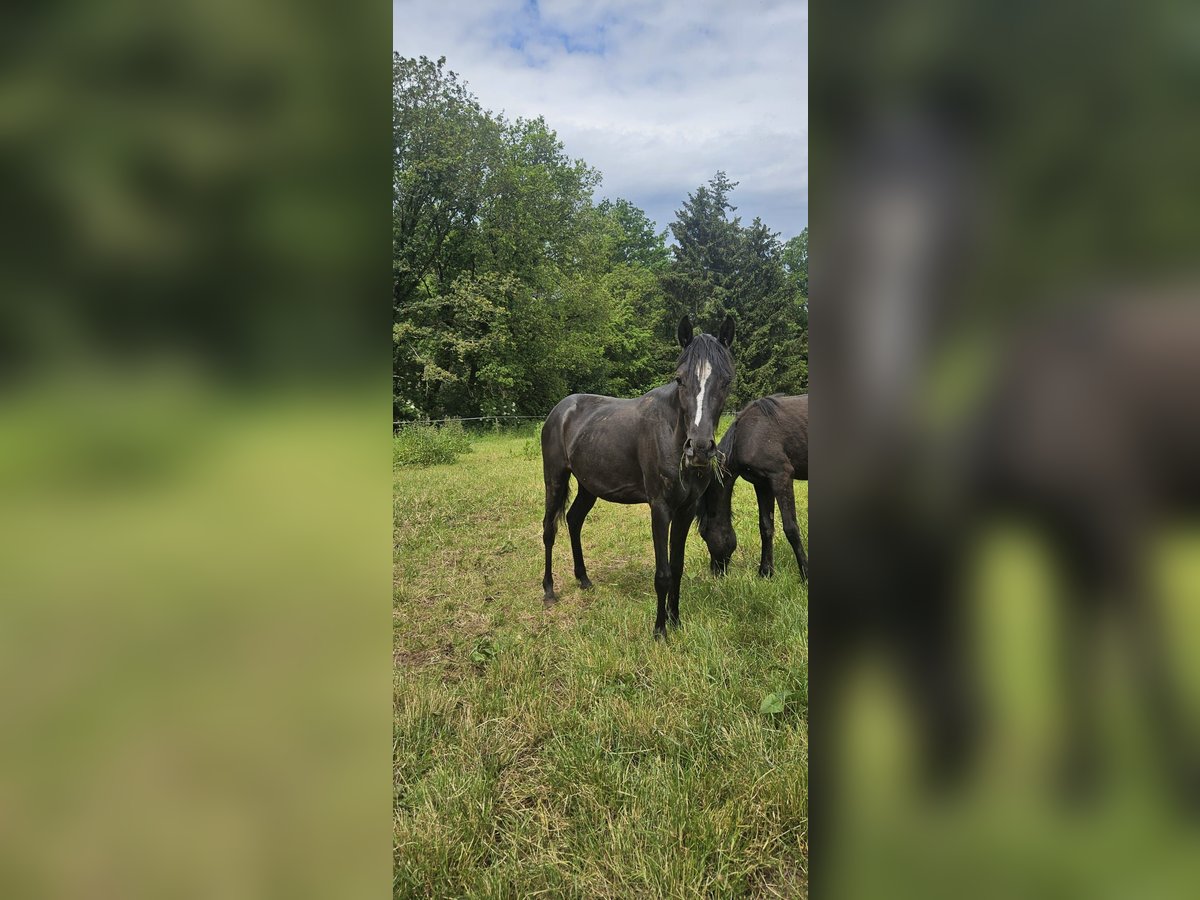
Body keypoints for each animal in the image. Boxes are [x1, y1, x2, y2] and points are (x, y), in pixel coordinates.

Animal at [542, 314, 729, 638]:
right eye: (680, 379)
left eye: (726, 380)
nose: (699, 449)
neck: (671, 432)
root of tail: (559, 410)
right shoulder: (660, 508)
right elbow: (663, 573)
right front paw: (659, 631)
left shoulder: (685, 510)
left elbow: (677, 567)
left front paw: (675, 621)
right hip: (555, 480)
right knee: (549, 529)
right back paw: (550, 590)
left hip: (588, 486)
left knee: (574, 521)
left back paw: (584, 579)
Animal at [700, 396, 811, 580]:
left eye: (704, 534)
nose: (716, 572)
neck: (747, 436)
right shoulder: (762, 484)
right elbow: (766, 527)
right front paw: (765, 572)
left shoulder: (781, 477)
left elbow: (791, 528)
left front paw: (805, 574)